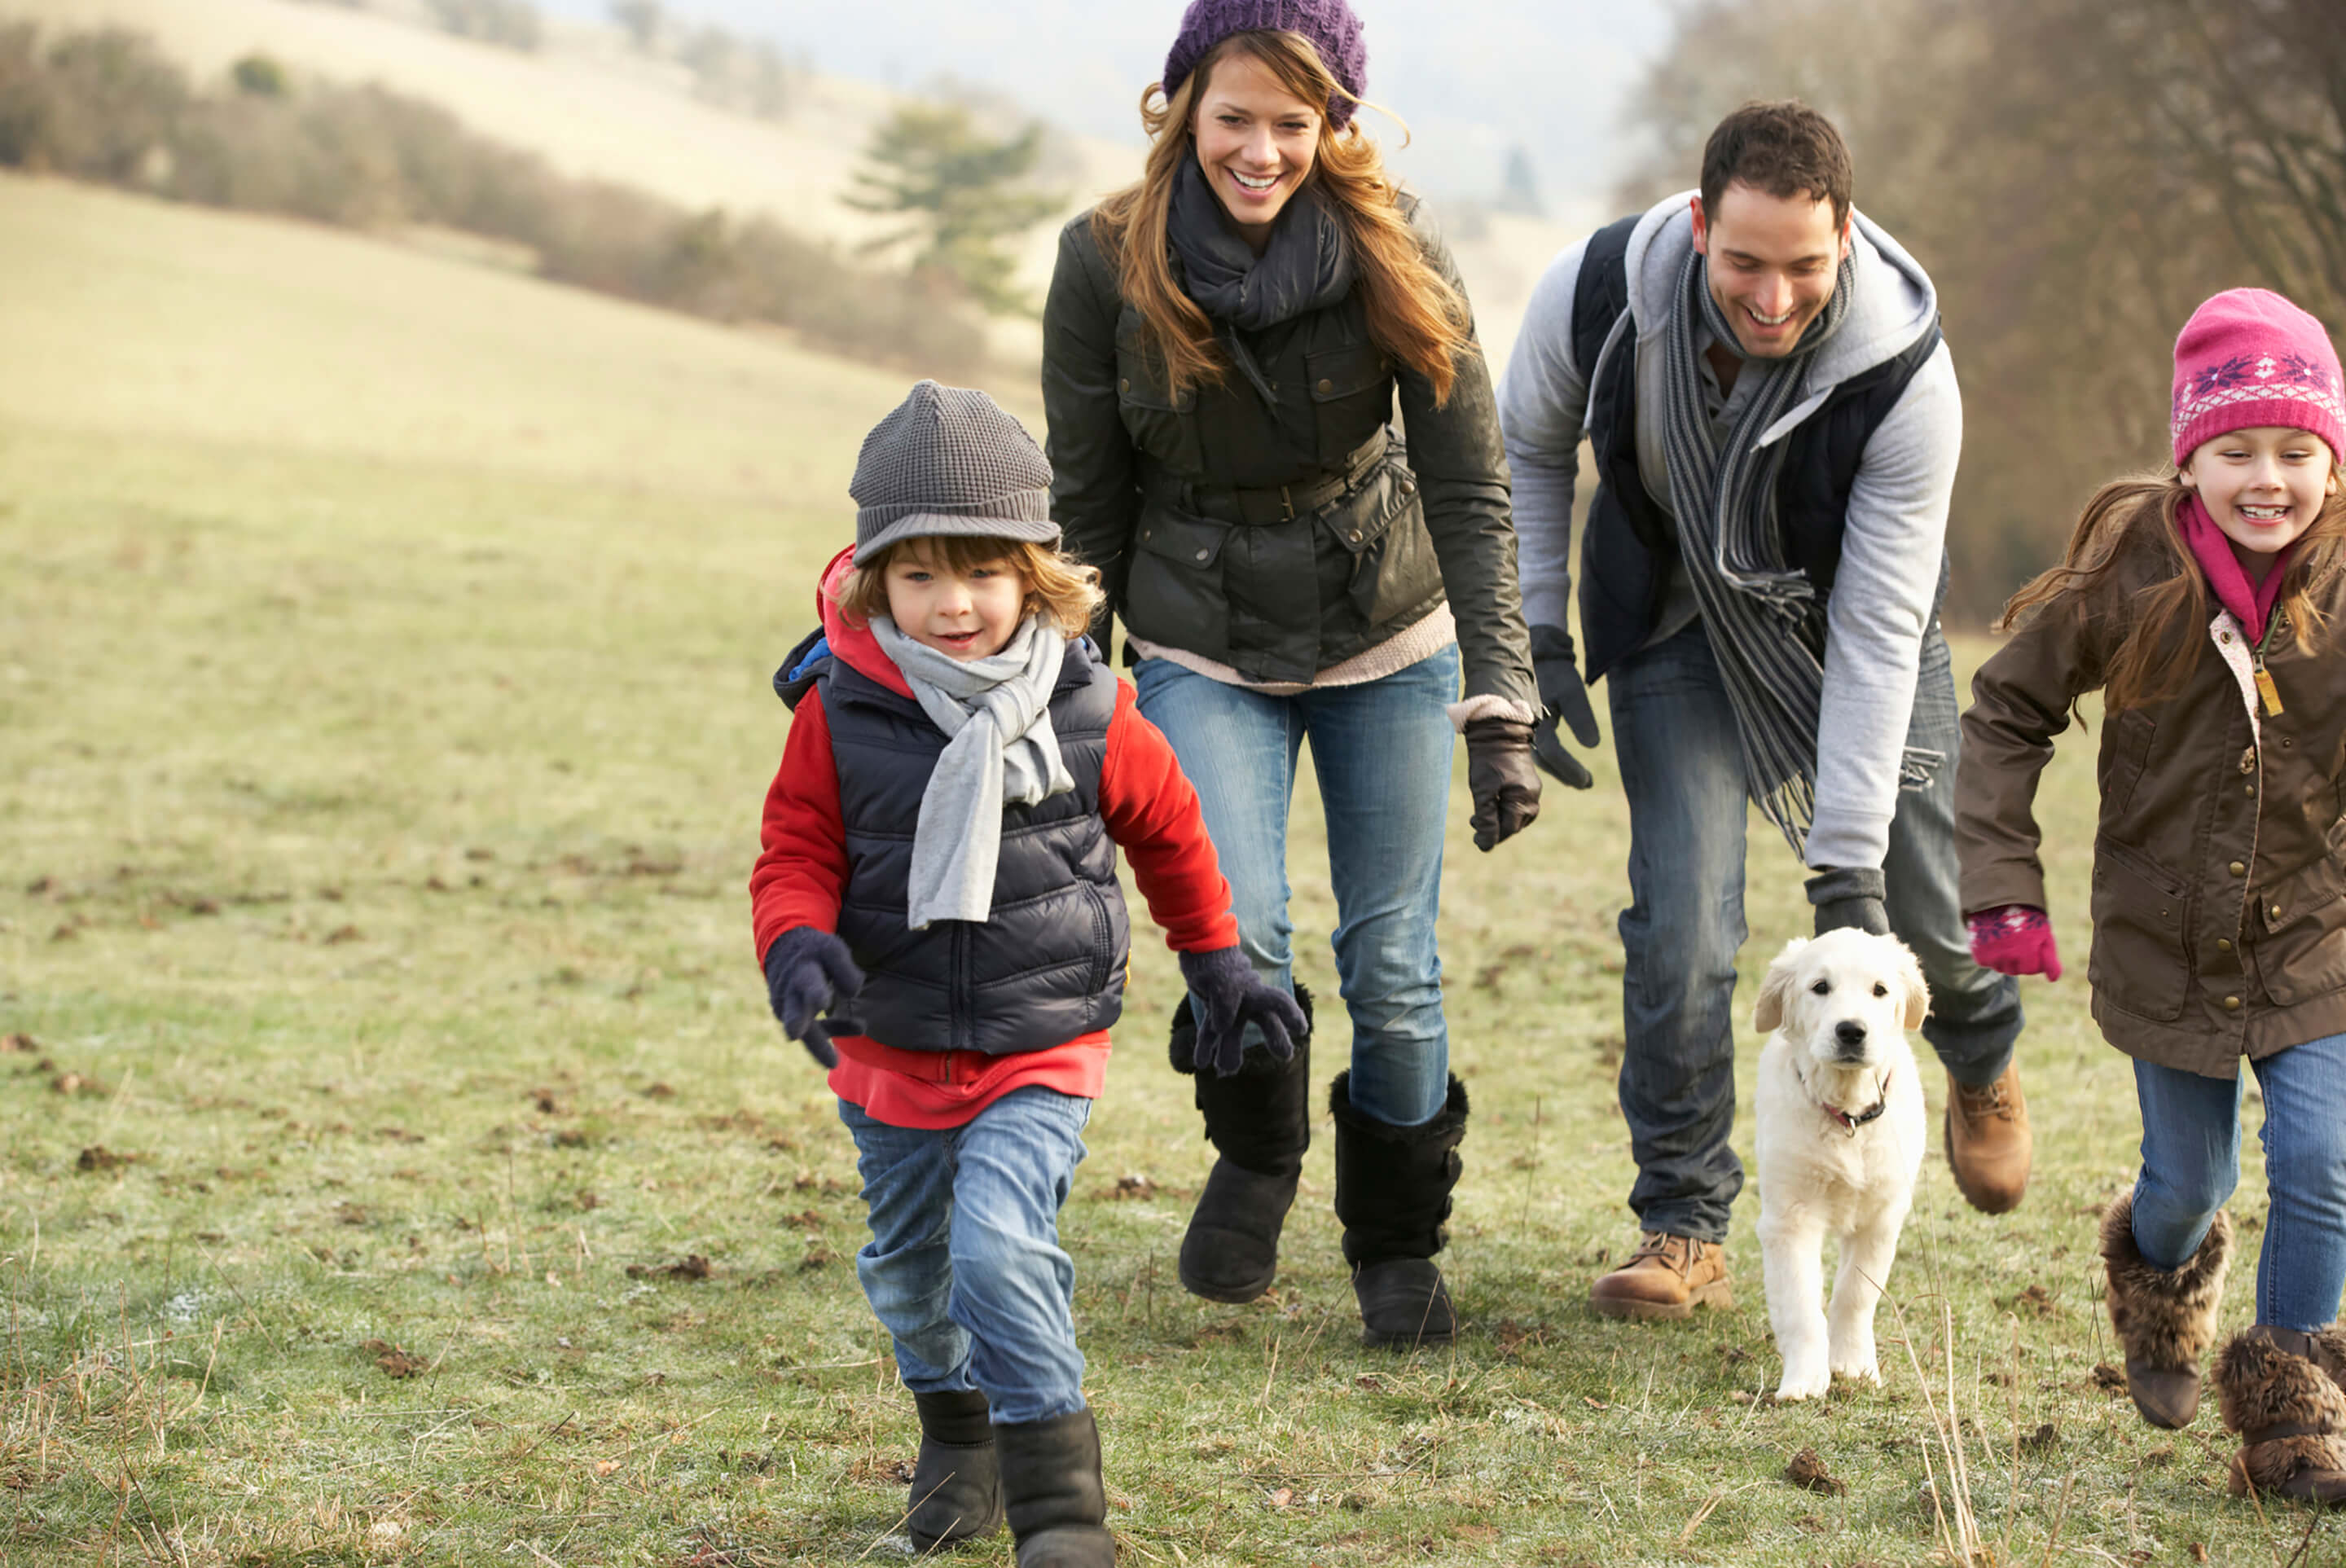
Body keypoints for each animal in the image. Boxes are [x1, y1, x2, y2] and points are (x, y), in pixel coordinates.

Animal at [1764, 925, 1923, 1399]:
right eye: (1820, 987)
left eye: (1879, 990)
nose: (1851, 1031)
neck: (1847, 1115)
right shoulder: (1789, 1220)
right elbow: (1800, 1306)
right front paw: (1803, 1381)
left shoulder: (1881, 1218)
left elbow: (1855, 1294)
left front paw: (1853, 1365)